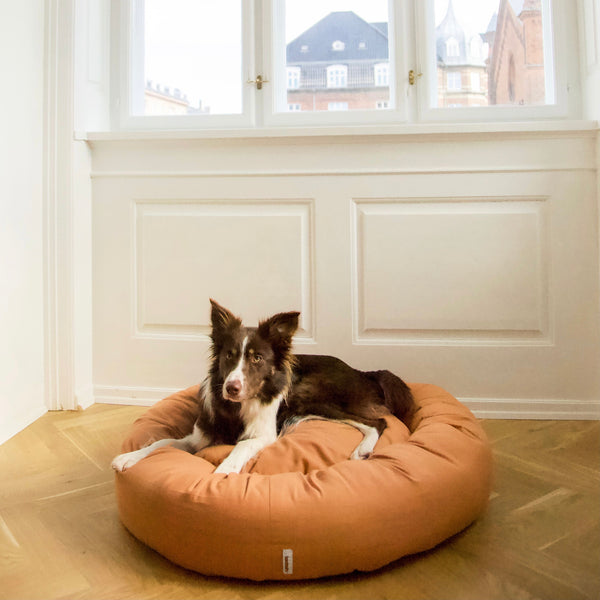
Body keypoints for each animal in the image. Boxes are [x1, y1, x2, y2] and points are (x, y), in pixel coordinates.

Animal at [111, 300, 412, 474]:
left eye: (257, 358)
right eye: (229, 355)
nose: (232, 388)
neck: (235, 409)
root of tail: (364, 372)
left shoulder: (265, 435)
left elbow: (242, 446)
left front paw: (226, 469)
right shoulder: (199, 437)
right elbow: (162, 441)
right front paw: (130, 456)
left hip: (312, 394)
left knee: (377, 422)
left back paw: (362, 450)